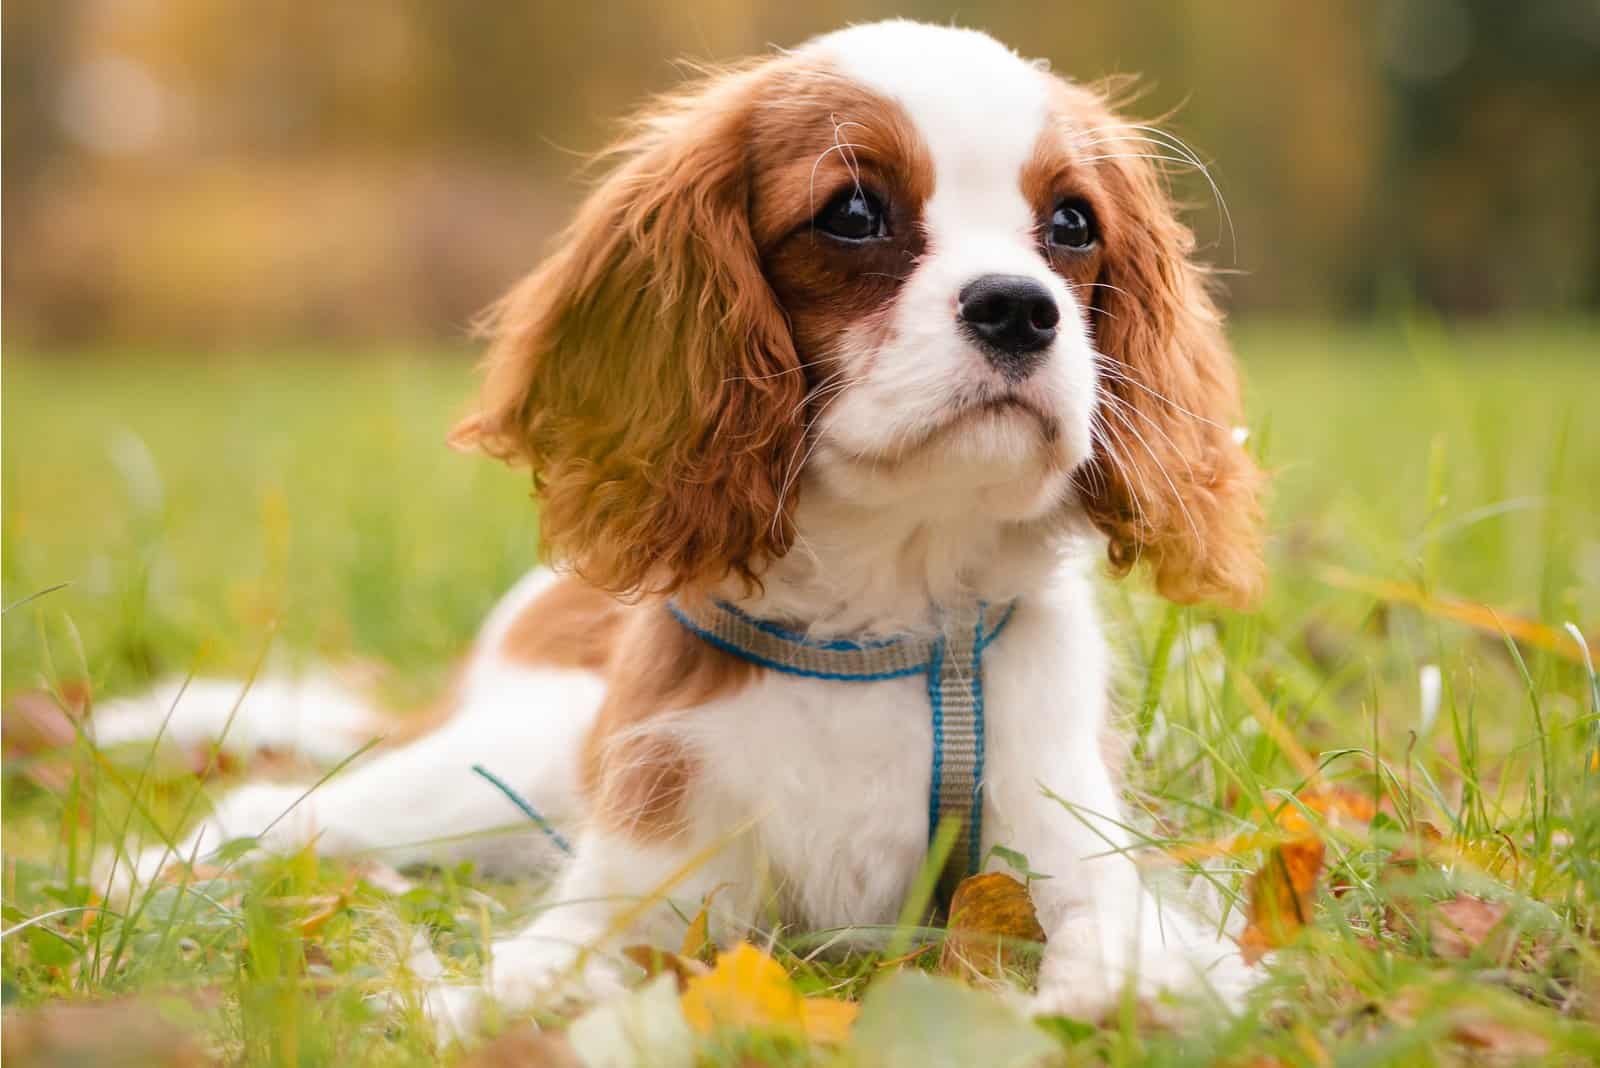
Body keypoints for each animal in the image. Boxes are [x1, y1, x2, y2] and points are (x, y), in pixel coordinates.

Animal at [106, 16, 1267, 1029]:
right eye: (853, 214)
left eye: (1071, 226)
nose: (1021, 308)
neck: (885, 612)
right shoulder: (644, 876)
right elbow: (544, 972)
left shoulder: (1069, 843)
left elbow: (1125, 943)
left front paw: (1109, 995)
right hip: (481, 773)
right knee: (273, 815)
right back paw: (143, 886)